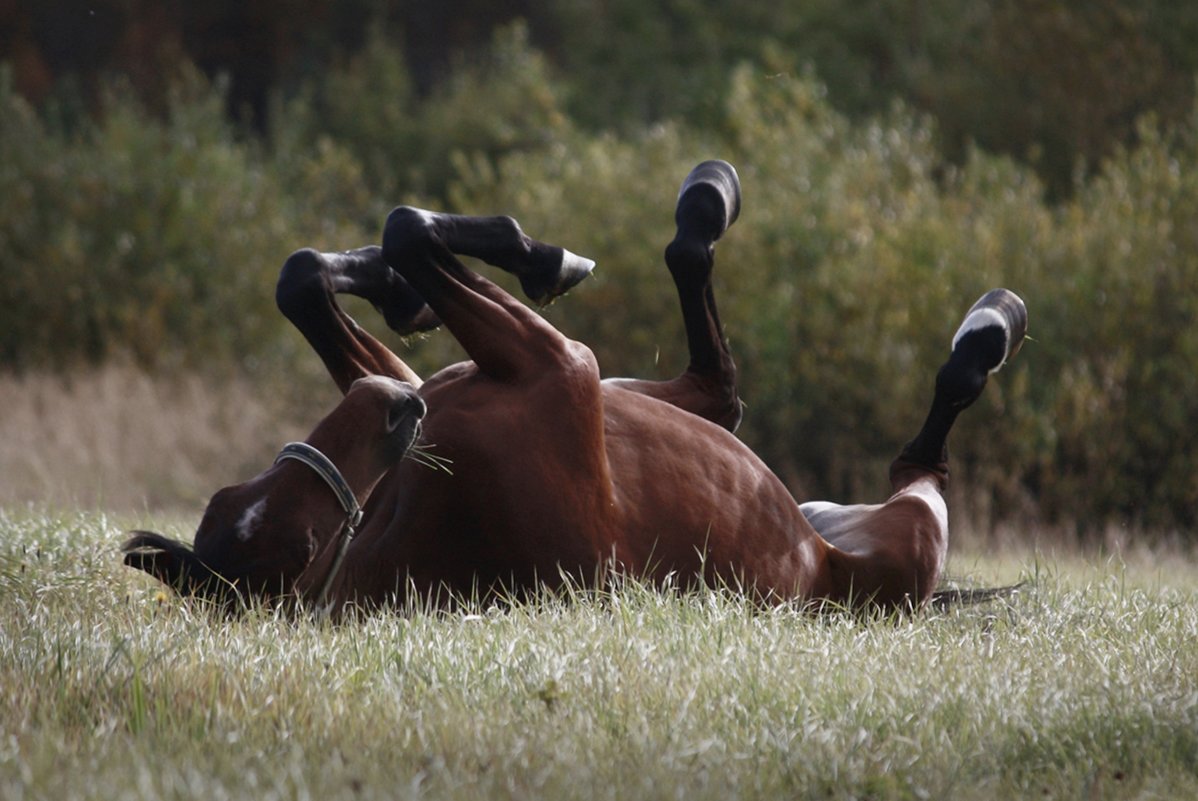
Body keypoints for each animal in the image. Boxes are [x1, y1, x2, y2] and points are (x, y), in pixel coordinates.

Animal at [123, 160, 1030, 613]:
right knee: (907, 462)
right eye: (302, 542)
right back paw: (988, 328)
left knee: (721, 384)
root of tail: (822, 554)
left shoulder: (445, 370)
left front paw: (393, 286)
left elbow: (309, 273)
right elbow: (407, 226)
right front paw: (535, 256)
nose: (396, 412)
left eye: (235, 492)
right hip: (905, 540)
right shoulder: (560, 364)